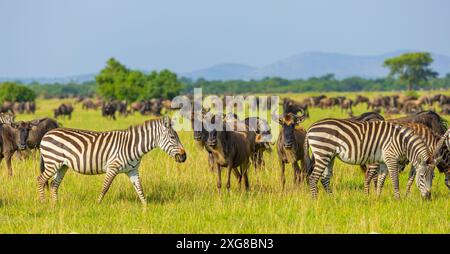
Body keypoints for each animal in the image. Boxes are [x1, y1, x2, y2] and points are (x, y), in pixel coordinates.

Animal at [37, 116, 186, 204]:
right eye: (173, 137)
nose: (184, 156)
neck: (132, 145)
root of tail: (47, 134)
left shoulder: (132, 170)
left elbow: (139, 188)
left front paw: (146, 208)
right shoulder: (112, 167)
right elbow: (105, 187)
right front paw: (97, 204)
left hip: (62, 165)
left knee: (54, 184)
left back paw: (56, 205)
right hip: (52, 162)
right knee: (41, 180)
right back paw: (43, 204)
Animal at [306, 119, 436, 200]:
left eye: (433, 177)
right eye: (422, 176)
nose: (429, 198)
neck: (402, 141)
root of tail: (310, 128)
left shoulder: (384, 161)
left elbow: (381, 180)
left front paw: (378, 198)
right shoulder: (391, 158)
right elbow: (395, 179)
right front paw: (398, 199)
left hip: (330, 156)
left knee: (325, 178)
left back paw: (332, 199)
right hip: (323, 153)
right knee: (313, 178)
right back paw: (315, 200)